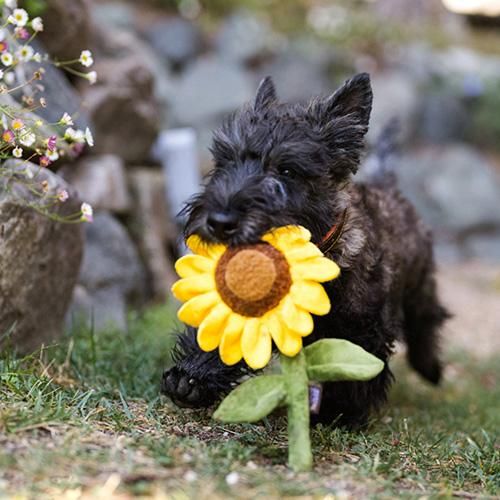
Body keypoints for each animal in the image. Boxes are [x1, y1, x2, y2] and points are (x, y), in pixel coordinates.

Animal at [161, 73, 449, 427]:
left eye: (287, 171)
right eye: (226, 161)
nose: (219, 221)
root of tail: (388, 184)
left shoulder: (362, 328)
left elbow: (353, 368)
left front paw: (338, 412)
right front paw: (190, 380)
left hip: (420, 282)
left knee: (428, 317)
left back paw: (430, 368)